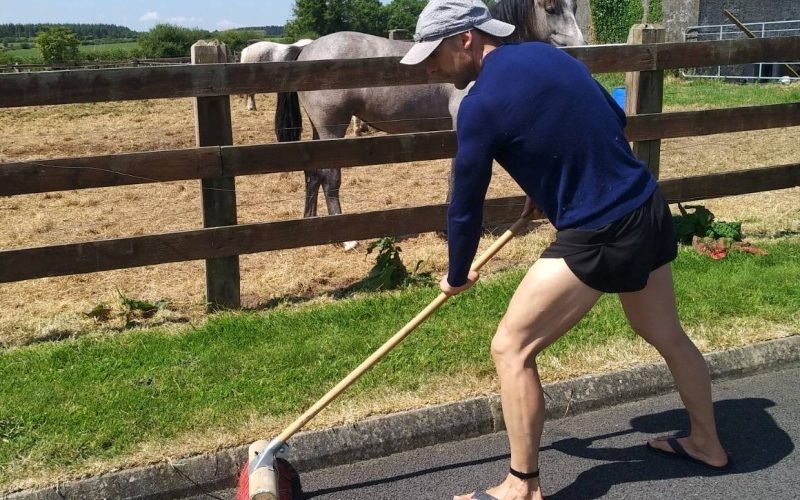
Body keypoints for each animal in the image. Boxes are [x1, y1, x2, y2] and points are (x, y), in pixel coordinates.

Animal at [278, 0, 584, 219]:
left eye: (574, 7)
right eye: (551, 8)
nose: (580, 46)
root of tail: (306, 50)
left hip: (320, 132)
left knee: (312, 174)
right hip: (332, 128)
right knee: (329, 176)